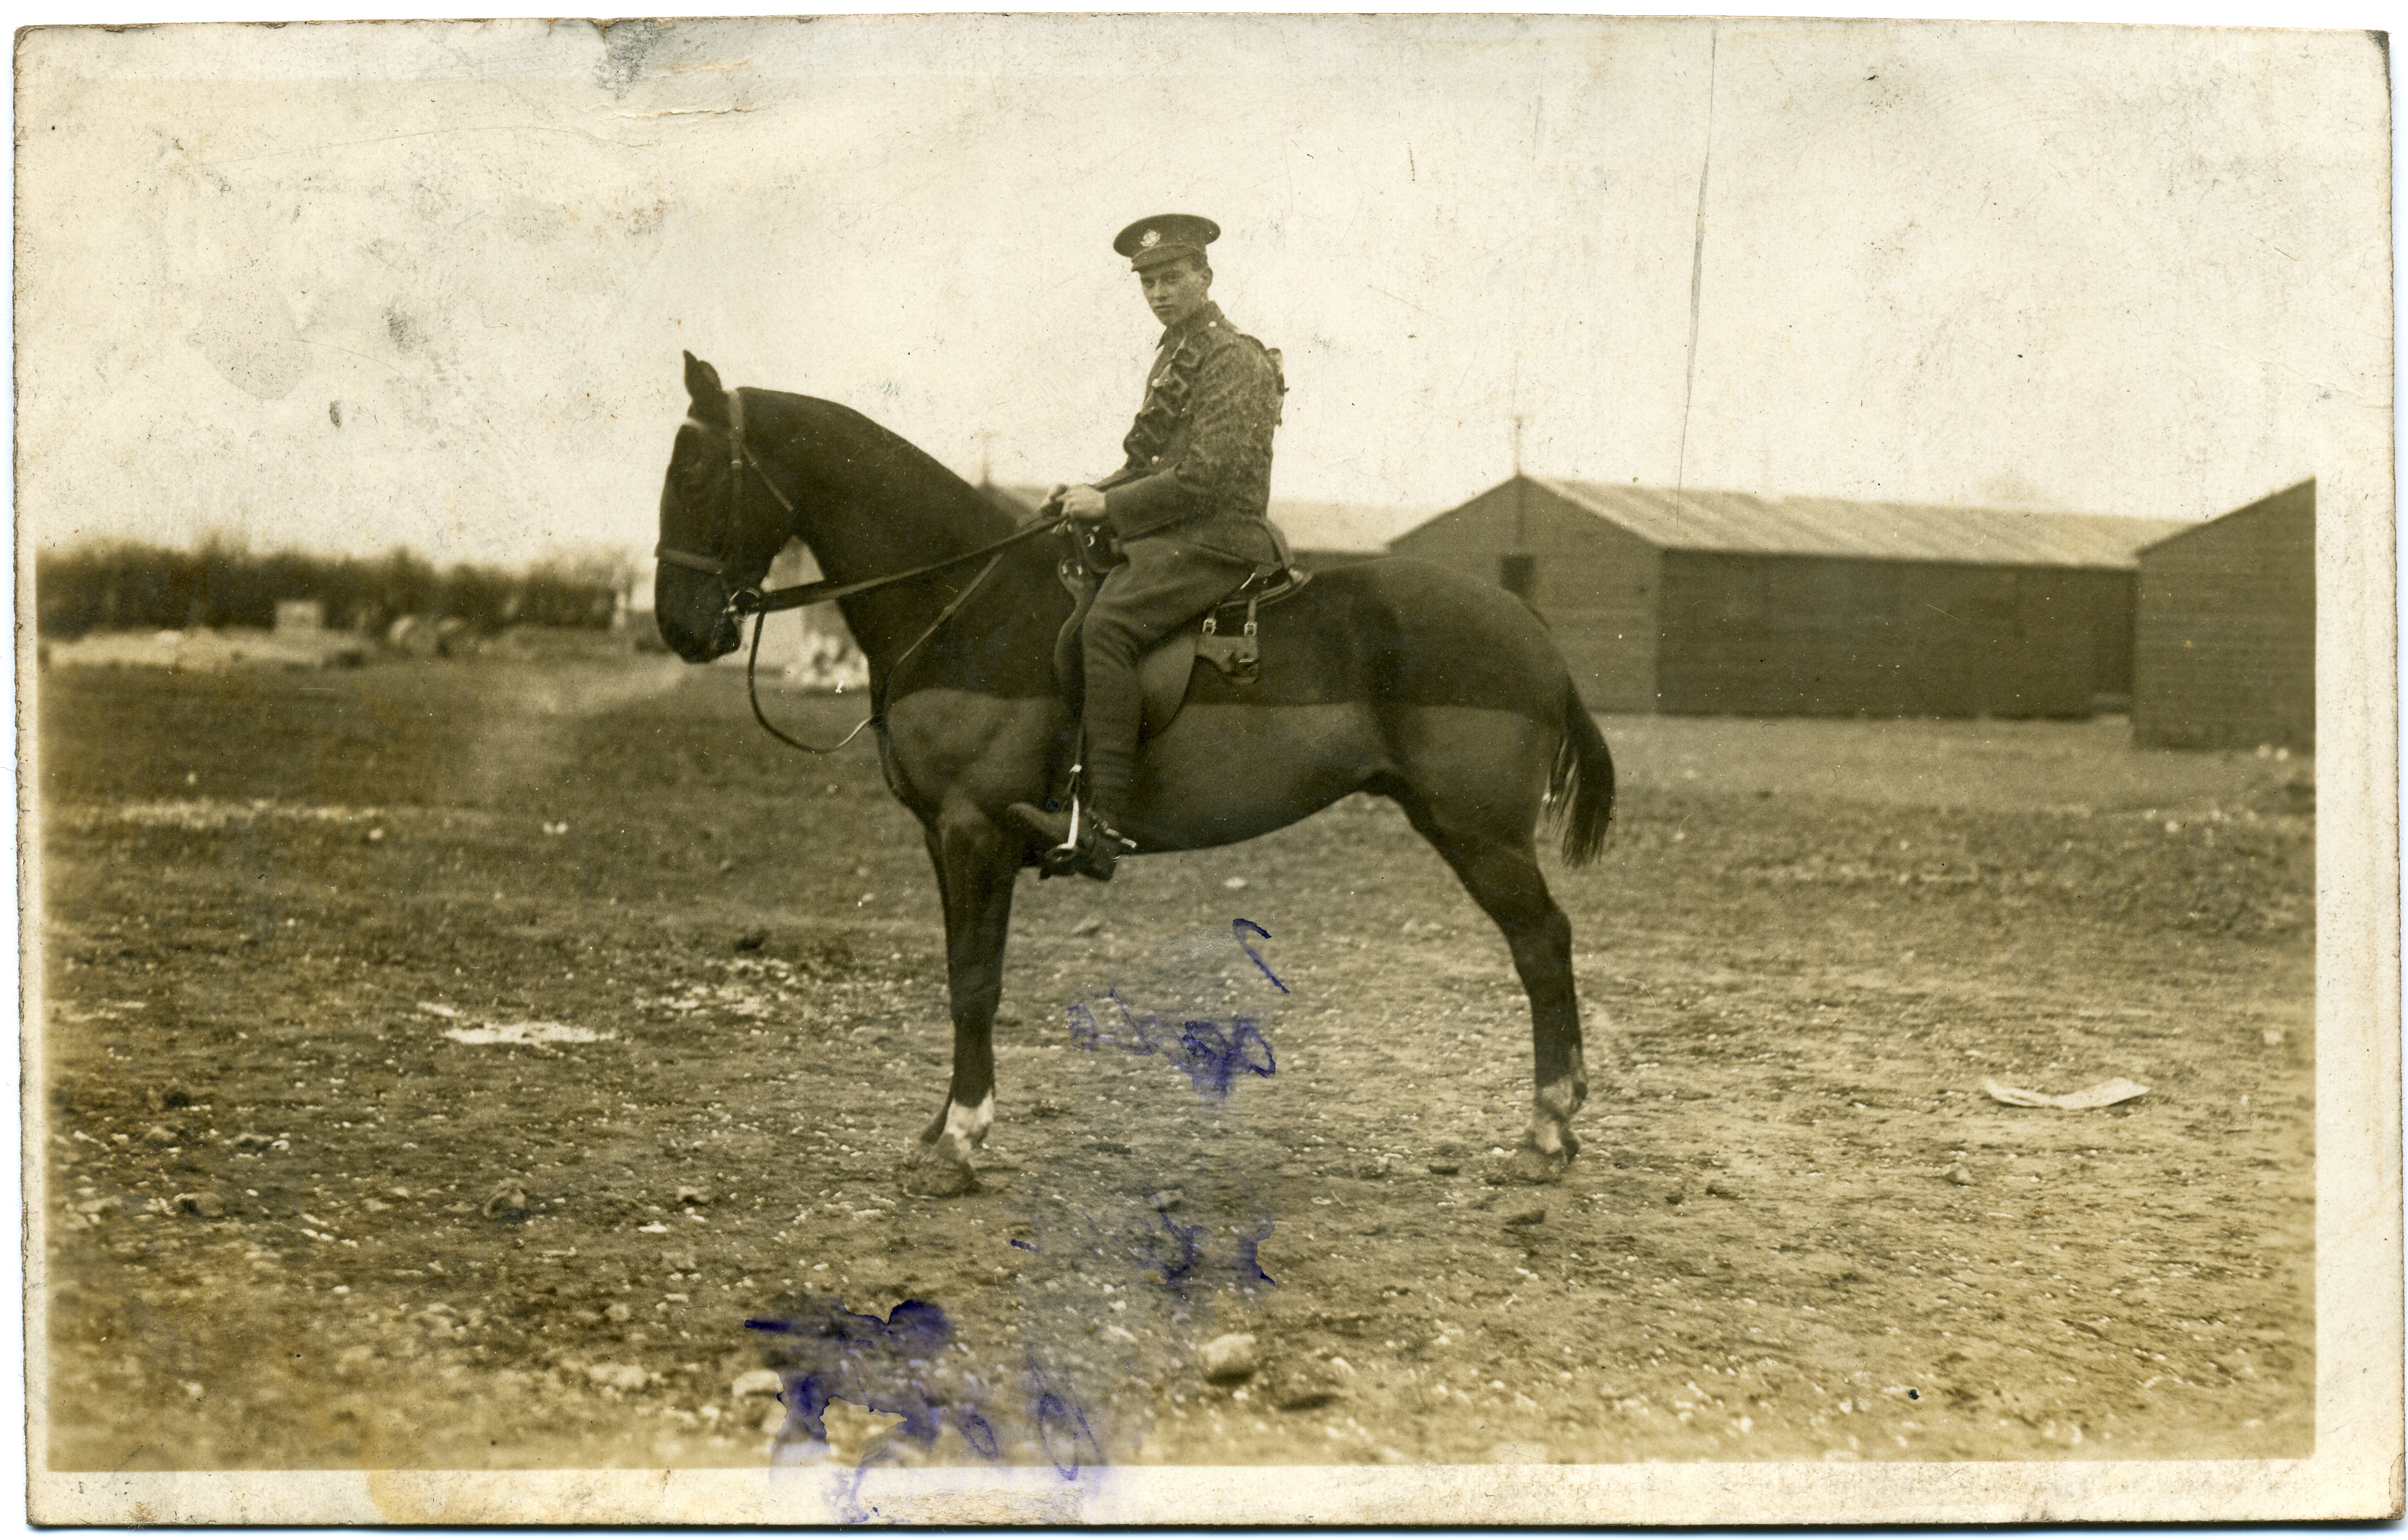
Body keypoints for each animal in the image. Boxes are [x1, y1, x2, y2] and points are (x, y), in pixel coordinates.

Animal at [654, 352, 1616, 1195]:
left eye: (696, 476)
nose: (680, 628)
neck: (966, 607)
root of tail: (1532, 631)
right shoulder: (944, 840)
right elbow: (965, 971)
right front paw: (939, 1129)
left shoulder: (974, 833)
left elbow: (975, 985)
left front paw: (960, 1141)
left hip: (1479, 833)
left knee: (1542, 943)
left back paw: (1547, 1130)